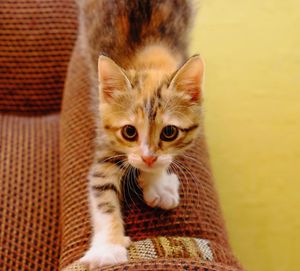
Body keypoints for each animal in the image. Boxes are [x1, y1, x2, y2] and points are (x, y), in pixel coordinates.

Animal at [77, 0, 205, 270]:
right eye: (129, 131)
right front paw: (108, 248)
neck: (148, 57)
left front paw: (156, 182)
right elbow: (101, 189)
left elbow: (163, 161)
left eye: (169, 132)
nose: (147, 157)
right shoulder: (106, 137)